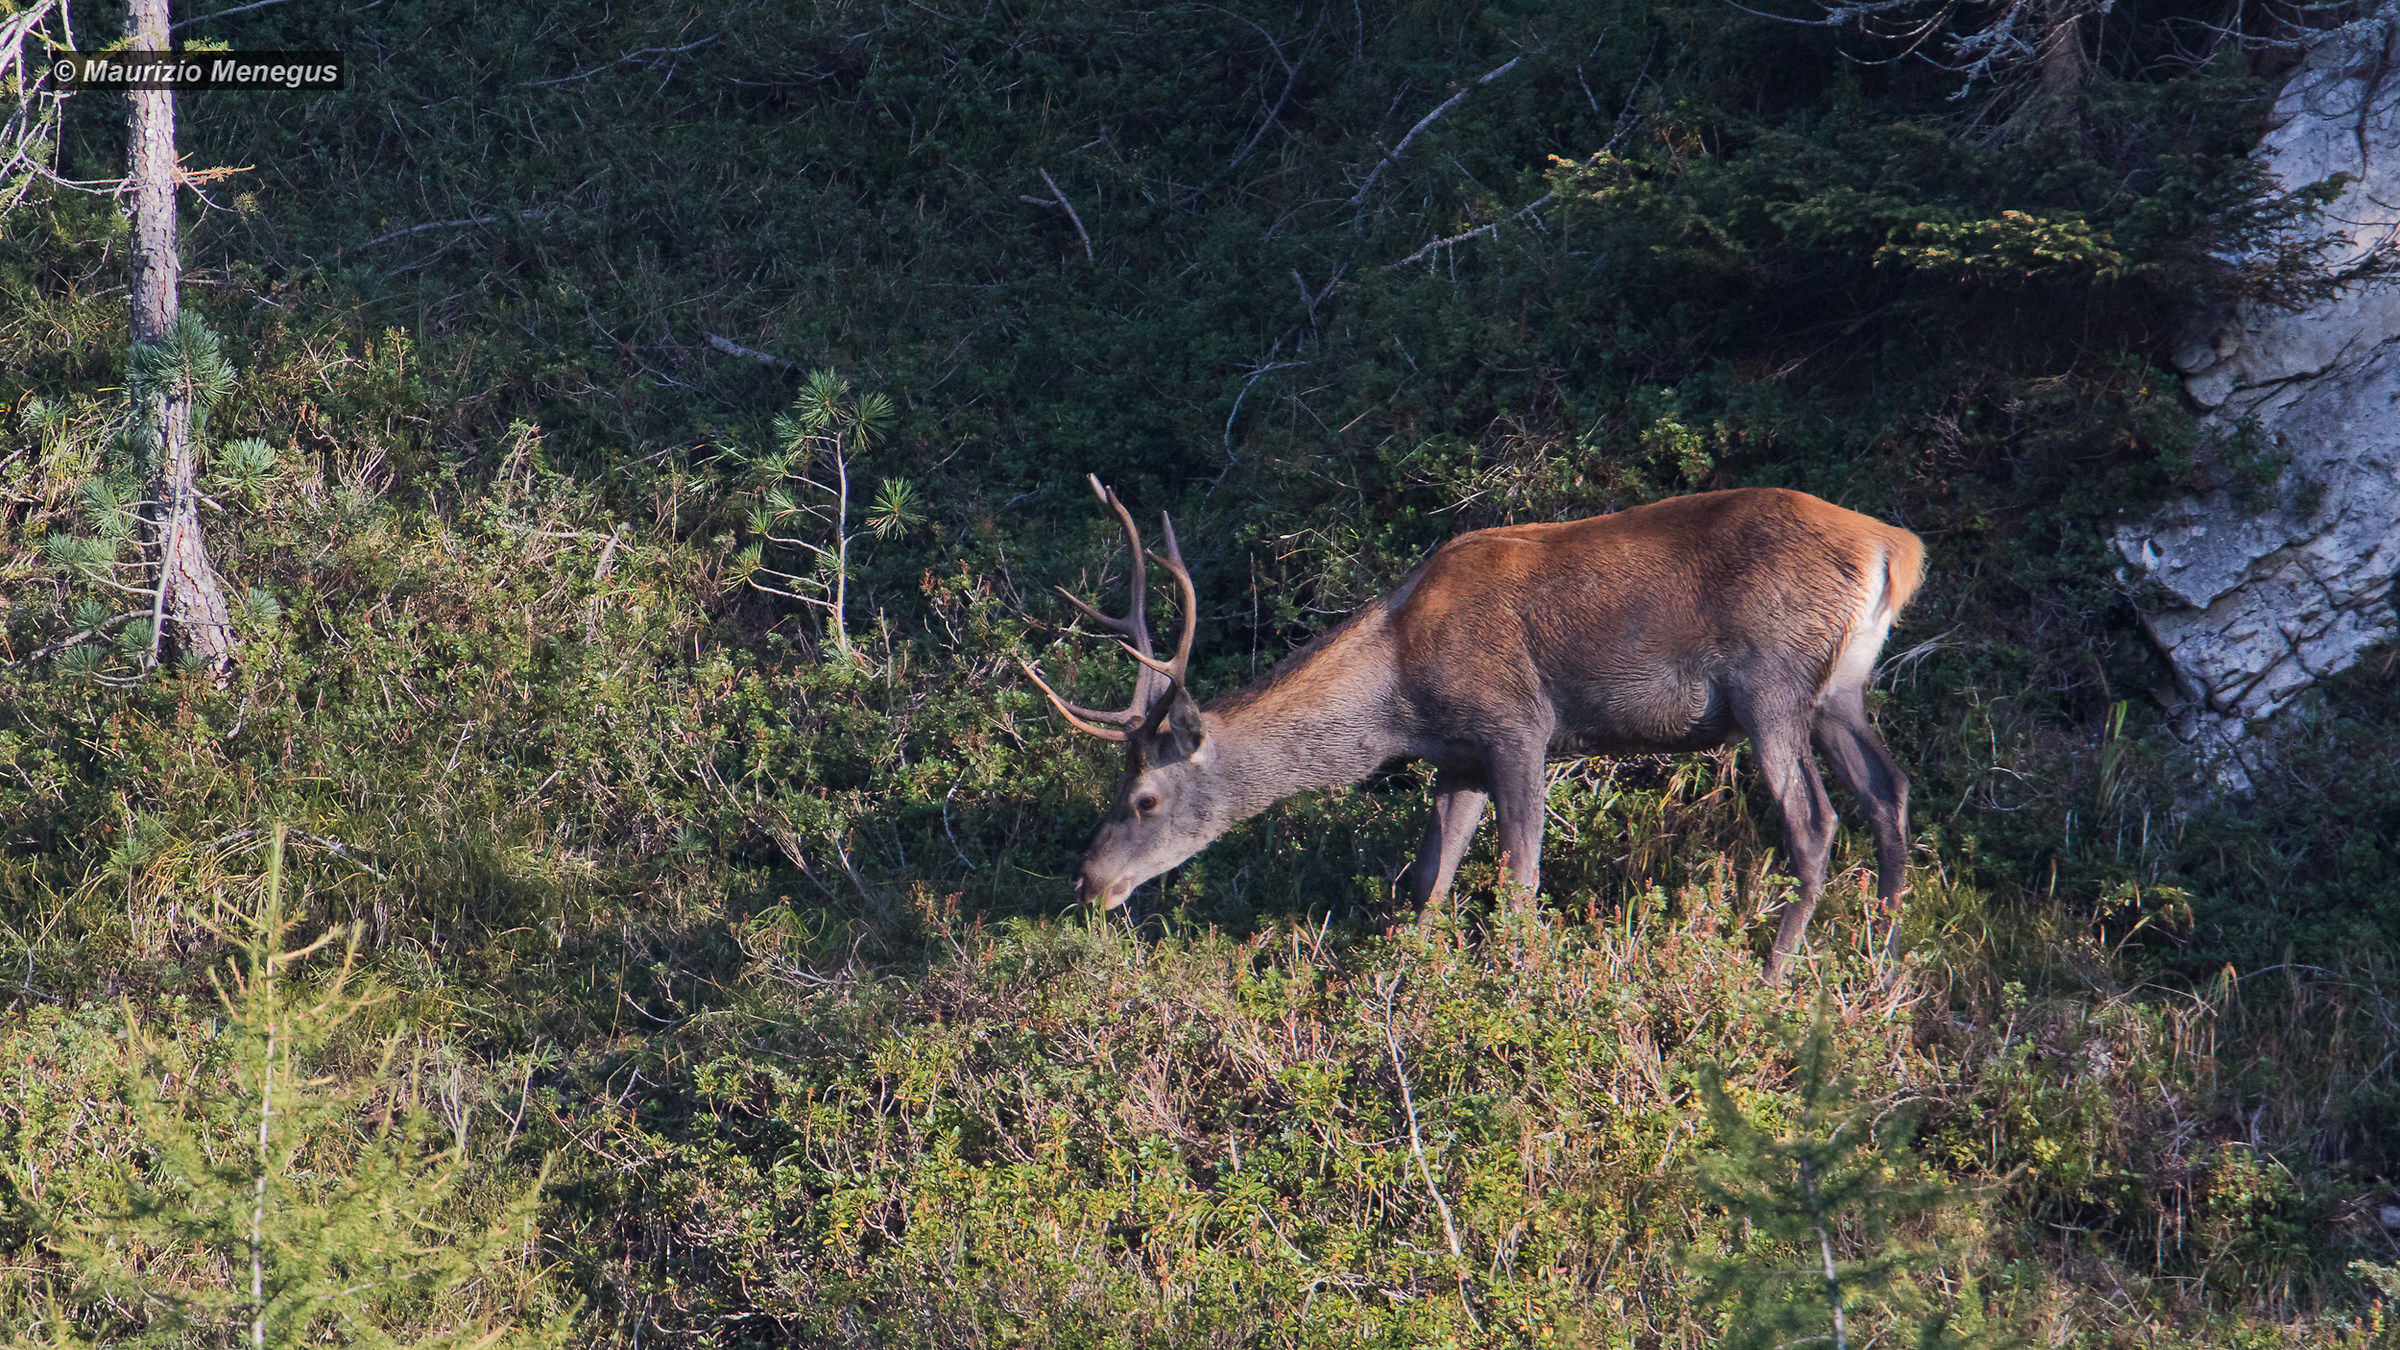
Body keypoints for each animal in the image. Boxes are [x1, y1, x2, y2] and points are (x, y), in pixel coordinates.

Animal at [1020, 475, 1924, 980]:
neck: (1400, 691)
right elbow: (1430, 878)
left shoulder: (1516, 724)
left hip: (1773, 685)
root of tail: (1895, 546)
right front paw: (1405, 980)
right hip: (1842, 691)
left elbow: (1518, 878)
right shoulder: (1456, 757)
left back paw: (1772, 977)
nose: (1088, 881)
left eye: (1142, 798)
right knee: (1889, 795)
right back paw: (1880, 965)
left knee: (1816, 822)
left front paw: (1511, 987)